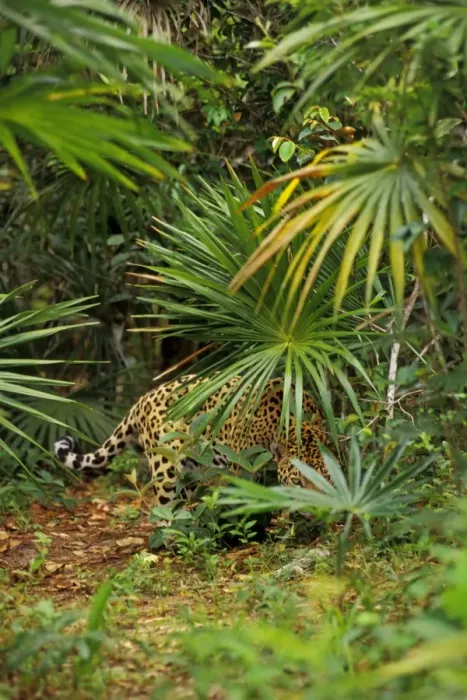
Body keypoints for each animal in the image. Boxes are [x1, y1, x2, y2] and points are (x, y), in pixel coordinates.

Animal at [54, 375, 330, 505]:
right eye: (298, 480)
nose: (319, 501)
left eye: (326, 478)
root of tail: (144, 398)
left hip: (190, 470)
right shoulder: (243, 467)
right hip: (165, 467)